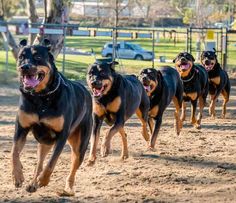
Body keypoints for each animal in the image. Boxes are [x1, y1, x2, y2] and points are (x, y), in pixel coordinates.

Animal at [11, 38, 92, 196]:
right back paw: (33, 184)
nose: (24, 67)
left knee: (73, 167)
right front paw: (17, 176)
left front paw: (44, 180)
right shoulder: (21, 129)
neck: (41, 97)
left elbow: (52, 162)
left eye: (37, 57)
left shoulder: (62, 135)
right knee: (39, 163)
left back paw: (68, 189)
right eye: (21, 57)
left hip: (80, 144)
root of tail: (86, 91)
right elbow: (14, 152)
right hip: (45, 142)